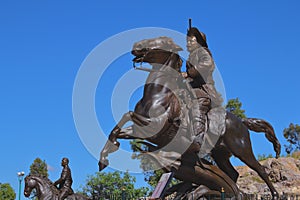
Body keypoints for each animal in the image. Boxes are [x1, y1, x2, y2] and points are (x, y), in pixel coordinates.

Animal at [99, 36, 282, 198]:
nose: (136, 45)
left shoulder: (154, 126)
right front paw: (104, 157)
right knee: (232, 174)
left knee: (260, 169)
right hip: (220, 153)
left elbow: (128, 115)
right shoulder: (143, 129)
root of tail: (241, 121)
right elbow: (119, 127)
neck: (158, 94)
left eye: (162, 41)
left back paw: (274, 194)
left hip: (241, 149)